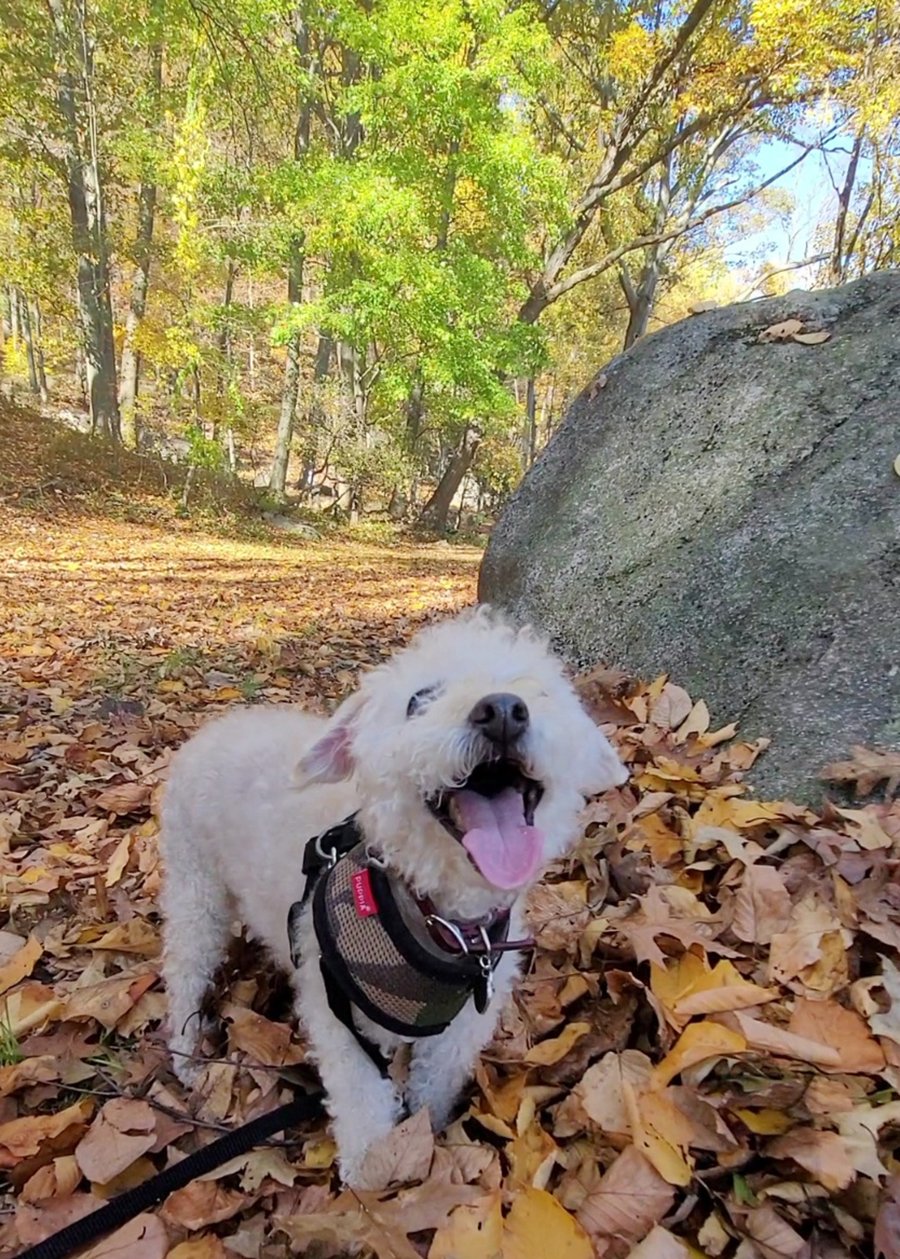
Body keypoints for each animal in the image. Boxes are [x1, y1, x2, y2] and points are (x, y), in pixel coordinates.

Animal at [160, 607, 627, 1185]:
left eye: (536, 691)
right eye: (418, 700)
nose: (502, 710)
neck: (442, 919)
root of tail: (214, 726)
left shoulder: (460, 1030)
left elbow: (434, 1089)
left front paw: (426, 1139)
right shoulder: (343, 1023)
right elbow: (363, 1113)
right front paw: (371, 1187)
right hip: (194, 889)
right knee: (184, 972)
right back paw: (186, 1056)